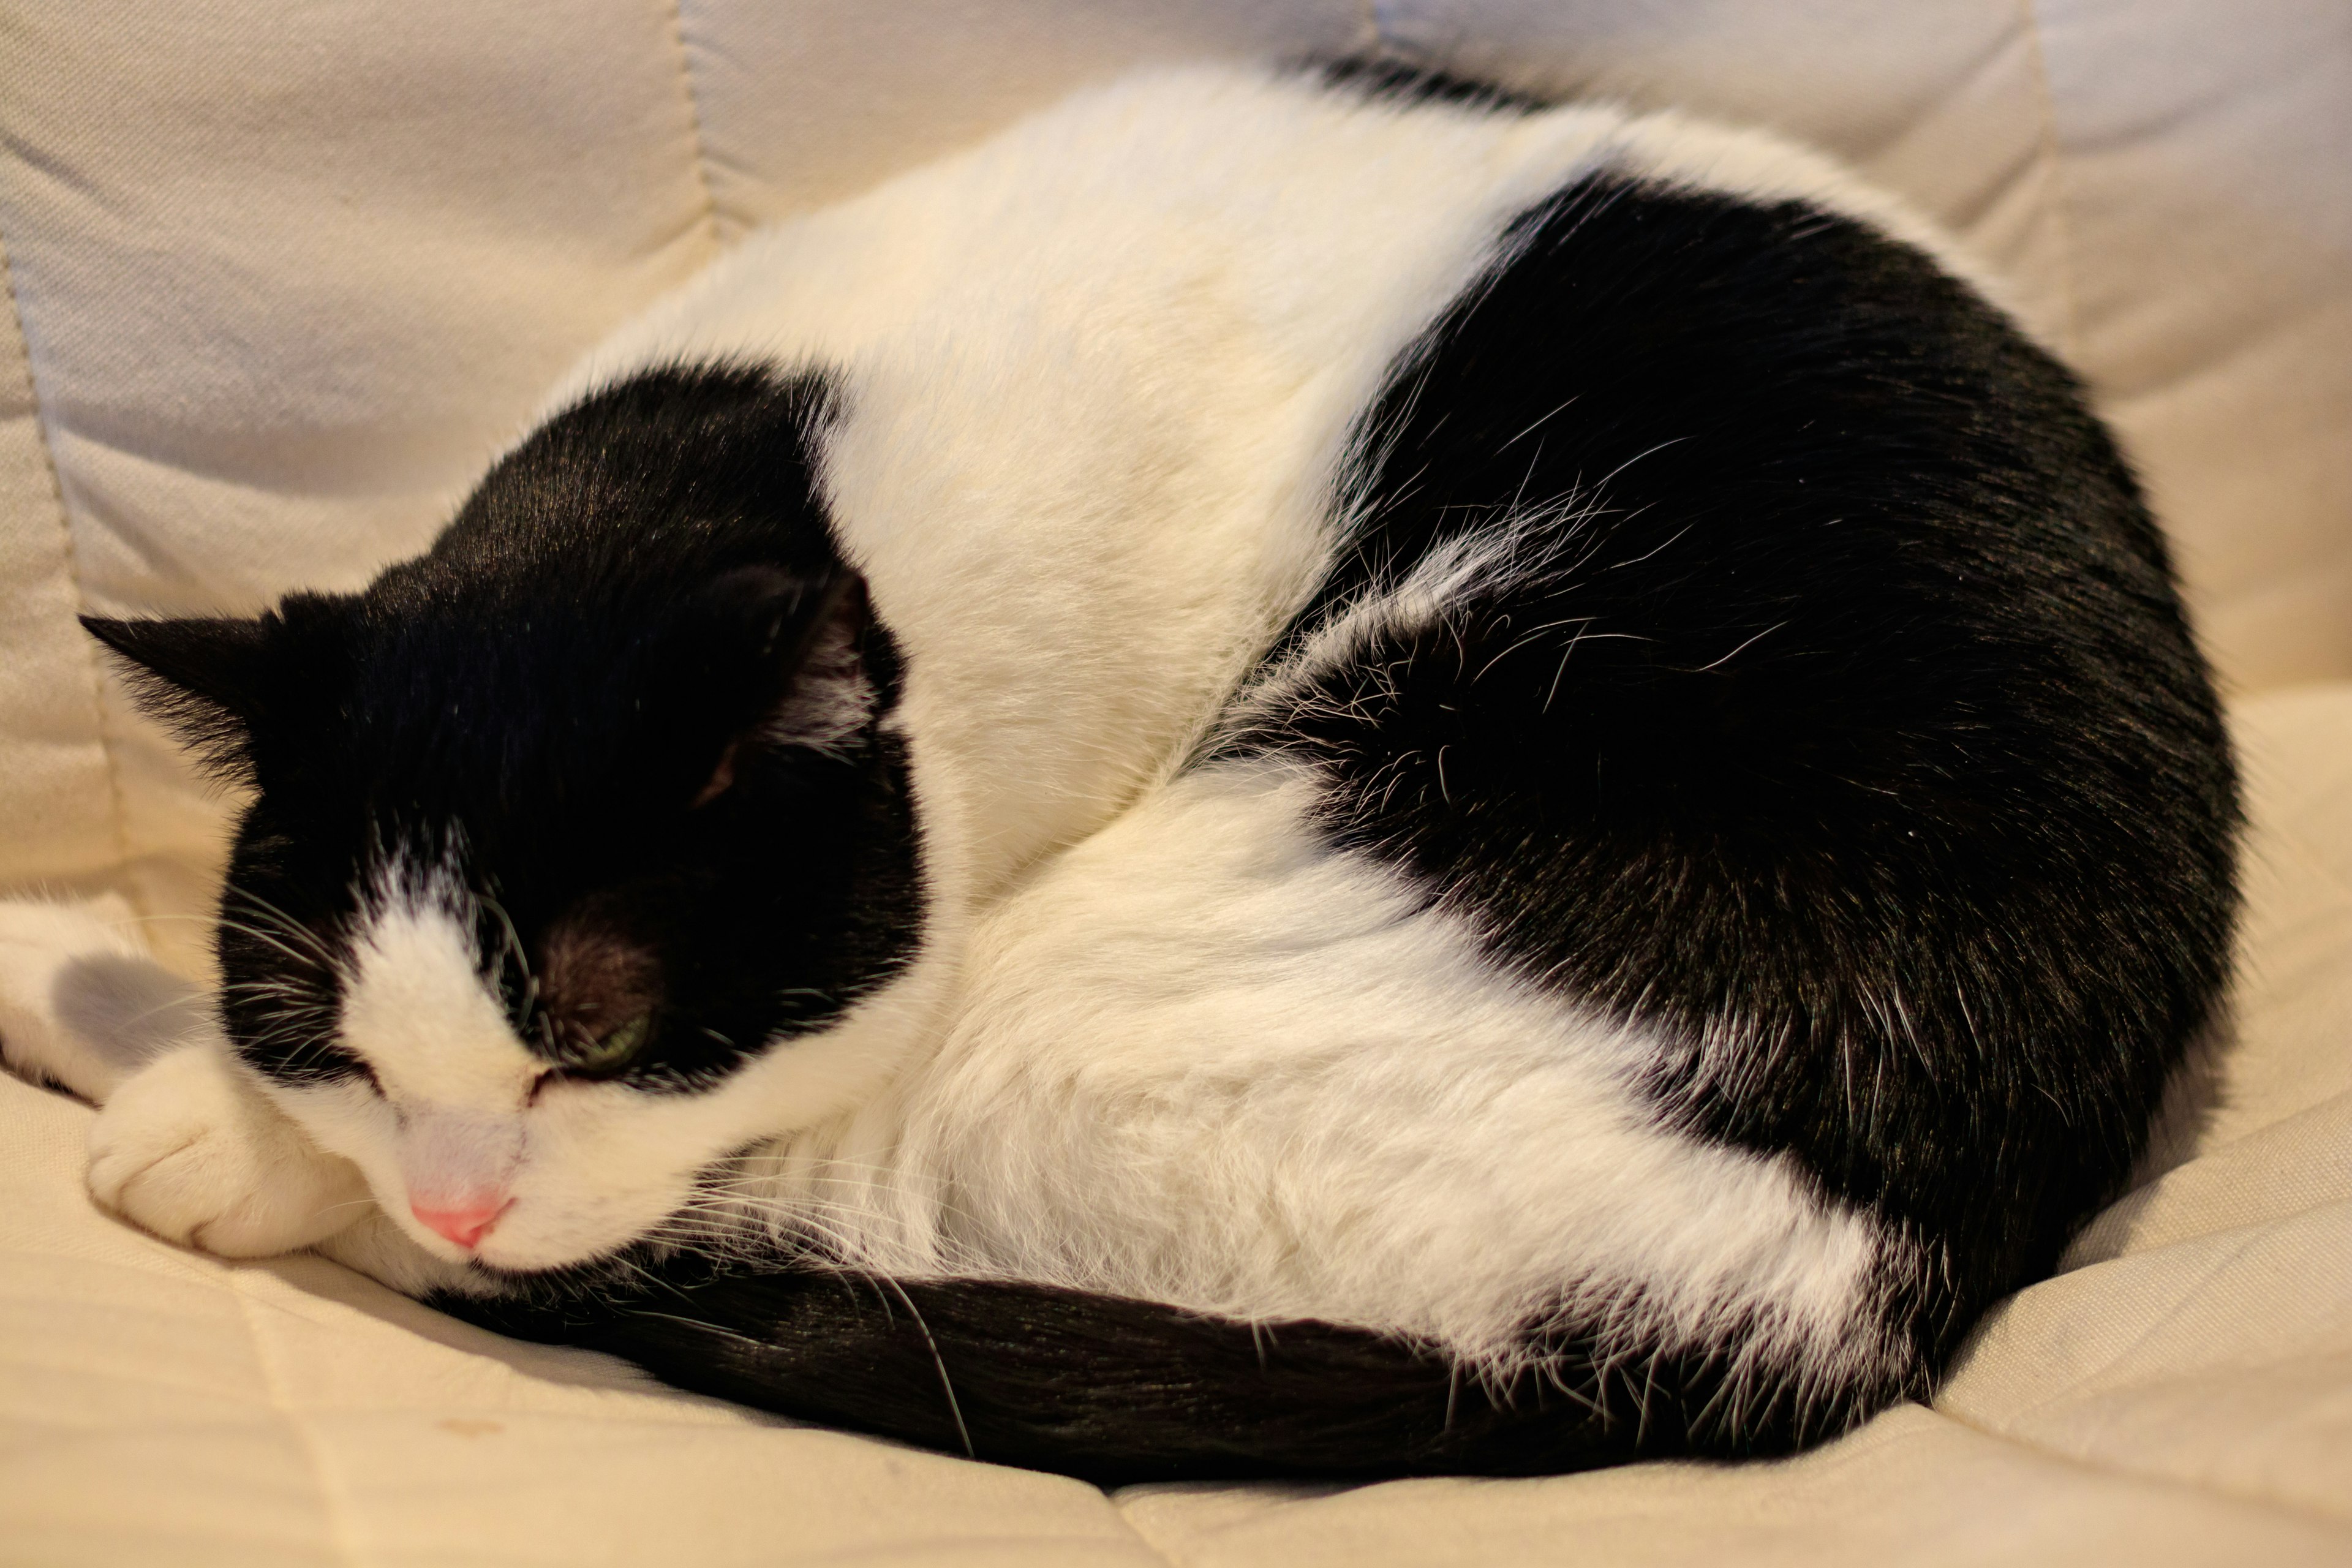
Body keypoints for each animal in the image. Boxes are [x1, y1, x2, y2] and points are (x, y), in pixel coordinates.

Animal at [0, 61, 2239, 1485]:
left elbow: (644, 1205)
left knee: (748, 1236)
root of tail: (1868, 1289)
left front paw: (223, 1121)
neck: (796, 420)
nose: (448, 1180)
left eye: (602, 1030)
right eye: (335, 1032)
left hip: (1164, 979)